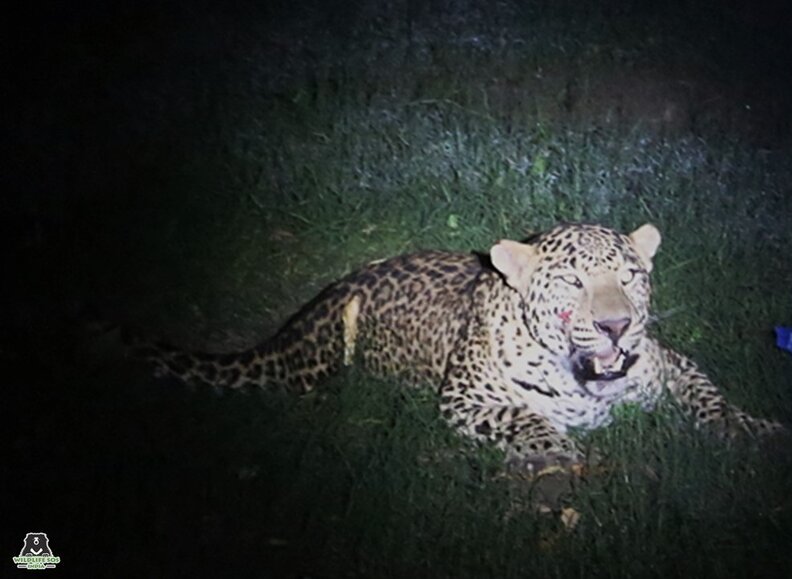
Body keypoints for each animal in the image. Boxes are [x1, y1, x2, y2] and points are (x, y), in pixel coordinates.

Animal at [137, 222, 784, 472]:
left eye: (629, 276)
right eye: (573, 281)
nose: (616, 326)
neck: (588, 386)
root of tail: (329, 294)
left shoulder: (671, 364)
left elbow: (709, 397)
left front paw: (750, 430)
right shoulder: (464, 400)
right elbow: (523, 417)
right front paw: (555, 450)